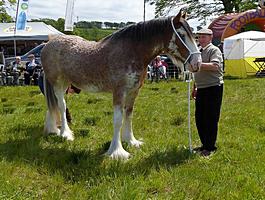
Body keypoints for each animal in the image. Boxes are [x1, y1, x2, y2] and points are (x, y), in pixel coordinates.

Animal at [40, 10, 200, 159]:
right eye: (182, 35)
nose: (197, 63)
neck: (132, 52)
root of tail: (48, 43)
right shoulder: (119, 92)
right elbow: (118, 120)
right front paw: (117, 152)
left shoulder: (134, 91)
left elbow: (128, 115)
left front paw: (131, 141)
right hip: (57, 83)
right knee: (61, 105)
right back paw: (65, 134)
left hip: (65, 83)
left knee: (56, 105)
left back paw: (54, 129)